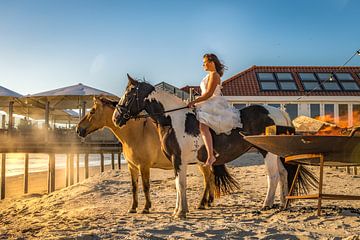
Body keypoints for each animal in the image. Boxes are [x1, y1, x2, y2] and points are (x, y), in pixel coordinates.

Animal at [76, 95, 235, 212]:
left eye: (92, 111)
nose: (78, 129)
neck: (136, 133)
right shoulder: (132, 166)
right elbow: (134, 187)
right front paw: (133, 208)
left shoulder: (144, 166)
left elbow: (146, 186)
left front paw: (146, 208)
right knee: (210, 179)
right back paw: (208, 202)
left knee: (208, 179)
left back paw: (203, 203)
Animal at [113, 74, 318, 218]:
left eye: (129, 93)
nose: (117, 117)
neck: (172, 119)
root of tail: (279, 112)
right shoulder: (176, 161)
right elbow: (178, 184)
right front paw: (179, 210)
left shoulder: (178, 160)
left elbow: (180, 184)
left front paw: (181, 212)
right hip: (276, 153)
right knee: (283, 174)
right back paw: (283, 204)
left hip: (267, 152)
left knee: (273, 176)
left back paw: (266, 204)